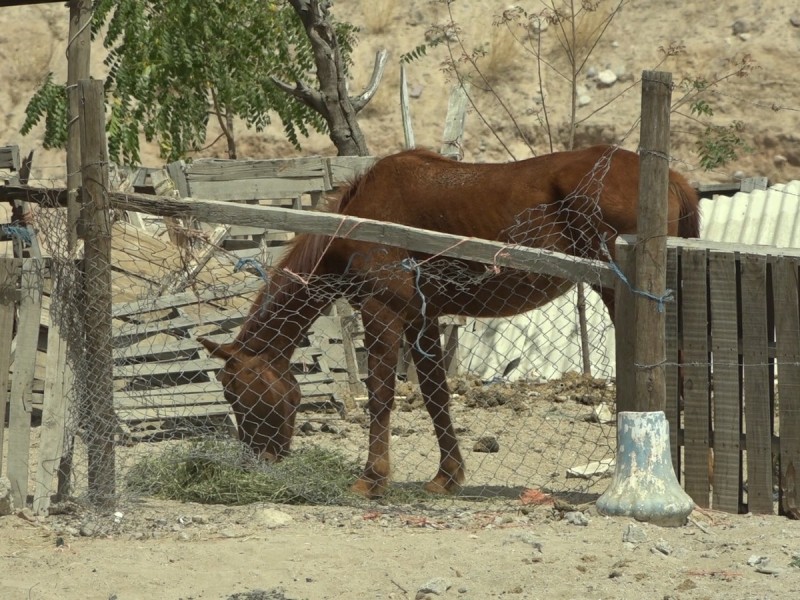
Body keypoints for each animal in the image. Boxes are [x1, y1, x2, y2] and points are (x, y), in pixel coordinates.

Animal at [200, 144, 700, 496]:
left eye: (236, 394)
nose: (258, 460)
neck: (360, 222)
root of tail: (672, 177)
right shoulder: (422, 320)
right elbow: (435, 396)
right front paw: (447, 477)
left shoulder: (382, 314)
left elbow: (381, 397)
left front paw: (371, 479)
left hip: (622, 296)